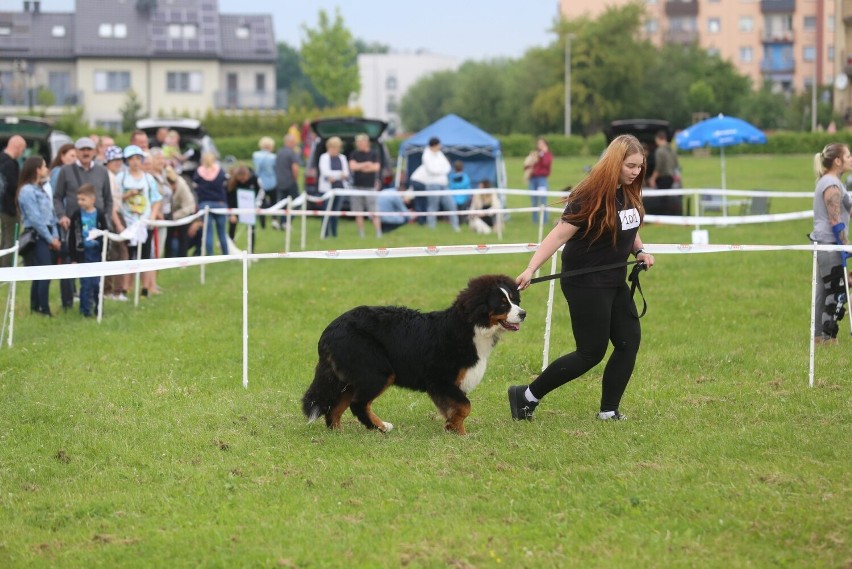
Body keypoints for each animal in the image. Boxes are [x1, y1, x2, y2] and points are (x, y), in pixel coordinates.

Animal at [302, 272, 524, 432]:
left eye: (514, 299)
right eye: (502, 303)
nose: (523, 313)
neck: (471, 327)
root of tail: (330, 329)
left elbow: (458, 408)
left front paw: (455, 429)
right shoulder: (440, 380)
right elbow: (464, 406)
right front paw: (458, 431)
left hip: (350, 377)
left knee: (335, 407)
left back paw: (338, 432)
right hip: (376, 371)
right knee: (358, 404)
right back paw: (381, 427)